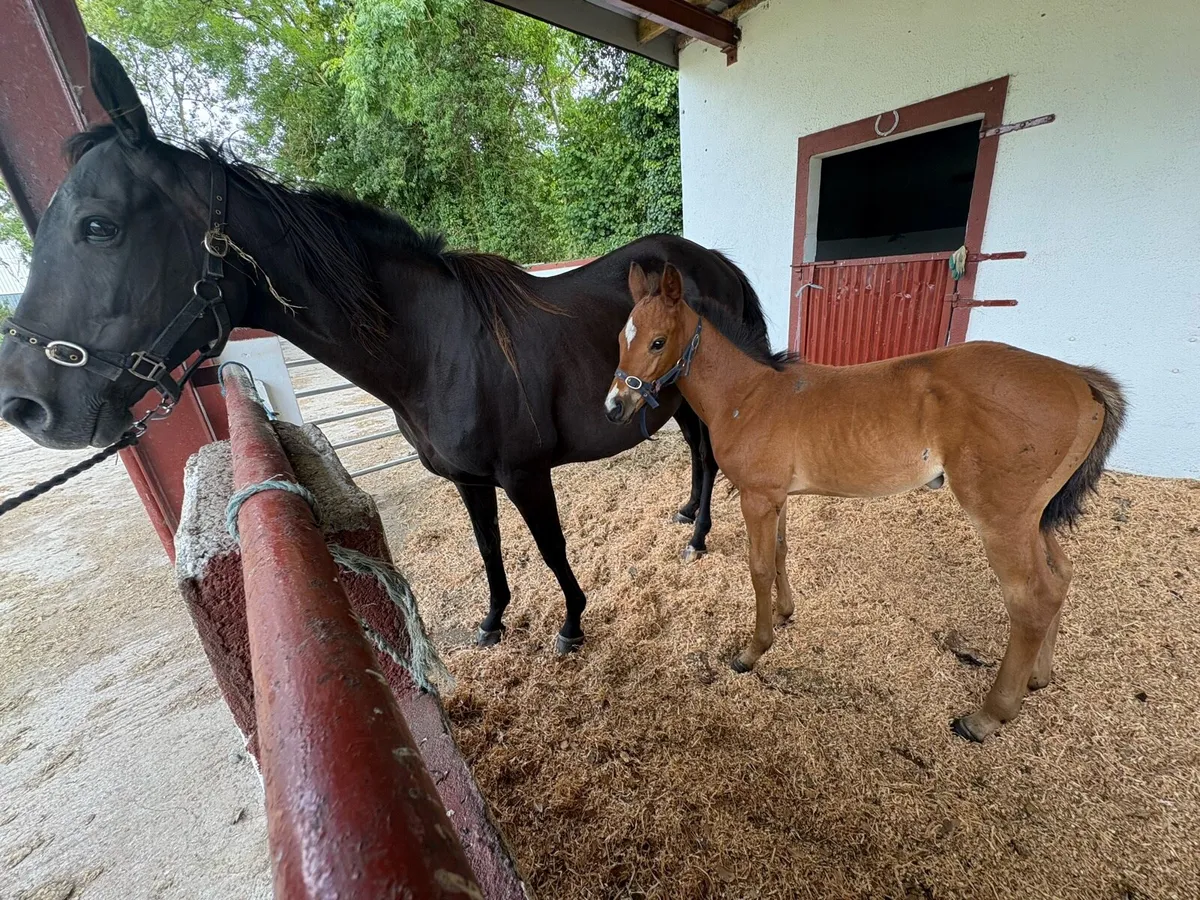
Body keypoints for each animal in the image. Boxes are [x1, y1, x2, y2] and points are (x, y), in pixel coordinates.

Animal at [0, 38, 775, 655]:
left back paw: (699, 537)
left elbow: (549, 548)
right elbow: (489, 548)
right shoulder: (470, 479)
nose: (27, 404)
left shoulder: (525, 473)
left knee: (709, 454)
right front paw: (493, 621)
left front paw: (571, 624)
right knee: (698, 454)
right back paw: (689, 519)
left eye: (99, 226)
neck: (436, 349)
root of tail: (710, 260)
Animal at [606, 262, 1126, 741]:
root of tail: (1081, 382)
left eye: (657, 342)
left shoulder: (755, 497)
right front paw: (785, 613)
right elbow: (781, 553)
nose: (614, 407)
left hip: (1002, 516)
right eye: (619, 339)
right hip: (1035, 516)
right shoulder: (776, 497)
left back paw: (986, 716)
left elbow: (757, 567)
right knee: (1059, 579)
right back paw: (1037, 678)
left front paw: (752, 651)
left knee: (1031, 599)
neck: (749, 395)